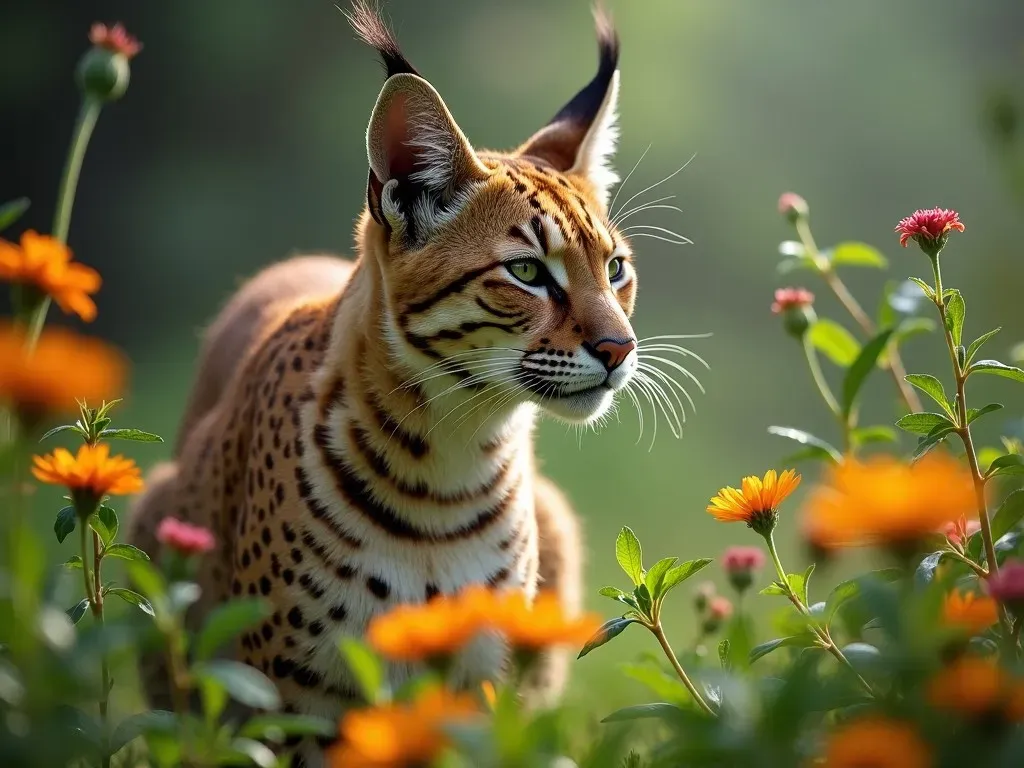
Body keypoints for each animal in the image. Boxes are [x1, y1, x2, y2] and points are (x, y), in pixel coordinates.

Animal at [125, 3, 696, 765]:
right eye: (526, 272)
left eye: (616, 269)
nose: (620, 348)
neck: (451, 458)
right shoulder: (294, 701)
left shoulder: (478, 688)